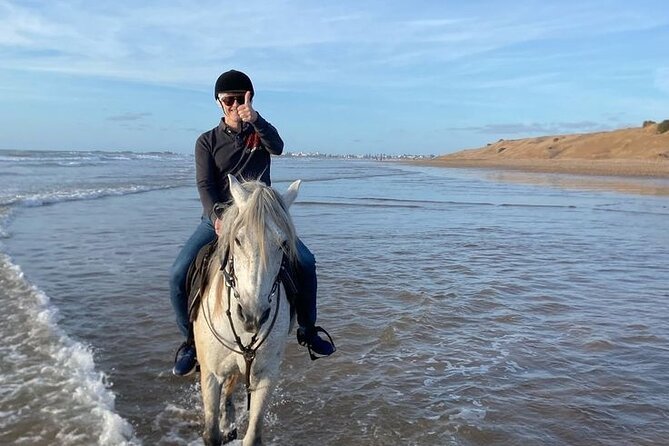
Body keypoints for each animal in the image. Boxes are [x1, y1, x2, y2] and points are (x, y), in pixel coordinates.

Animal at [193, 174, 300, 446]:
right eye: (238, 239)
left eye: (283, 243)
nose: (253, 315)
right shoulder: (210, 376)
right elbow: (211, 434)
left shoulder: (267, 375)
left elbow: (253, 436)